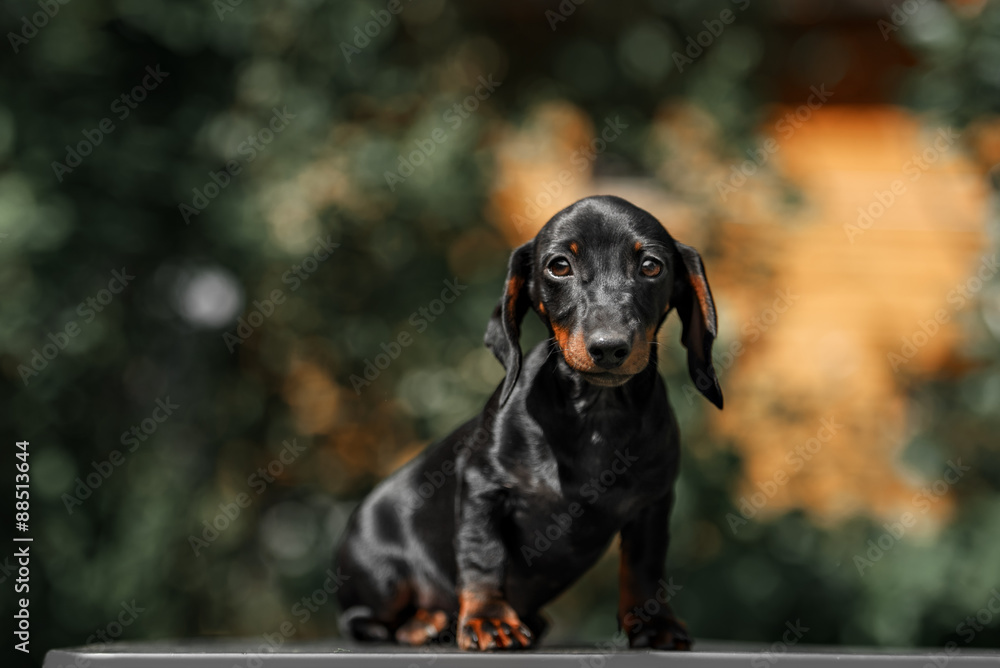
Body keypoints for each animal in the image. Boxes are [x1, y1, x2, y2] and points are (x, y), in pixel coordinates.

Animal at [334, 194, 720, 652]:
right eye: (559, 266)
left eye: (651, 266)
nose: (609, 348)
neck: (596, 414)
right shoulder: (483, 486)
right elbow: (483, 556)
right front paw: (488, 619)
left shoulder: (652, 504)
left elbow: (644, 567)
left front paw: (653, 624)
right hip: (383, 578)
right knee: (364, 620)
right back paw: (425, 623)